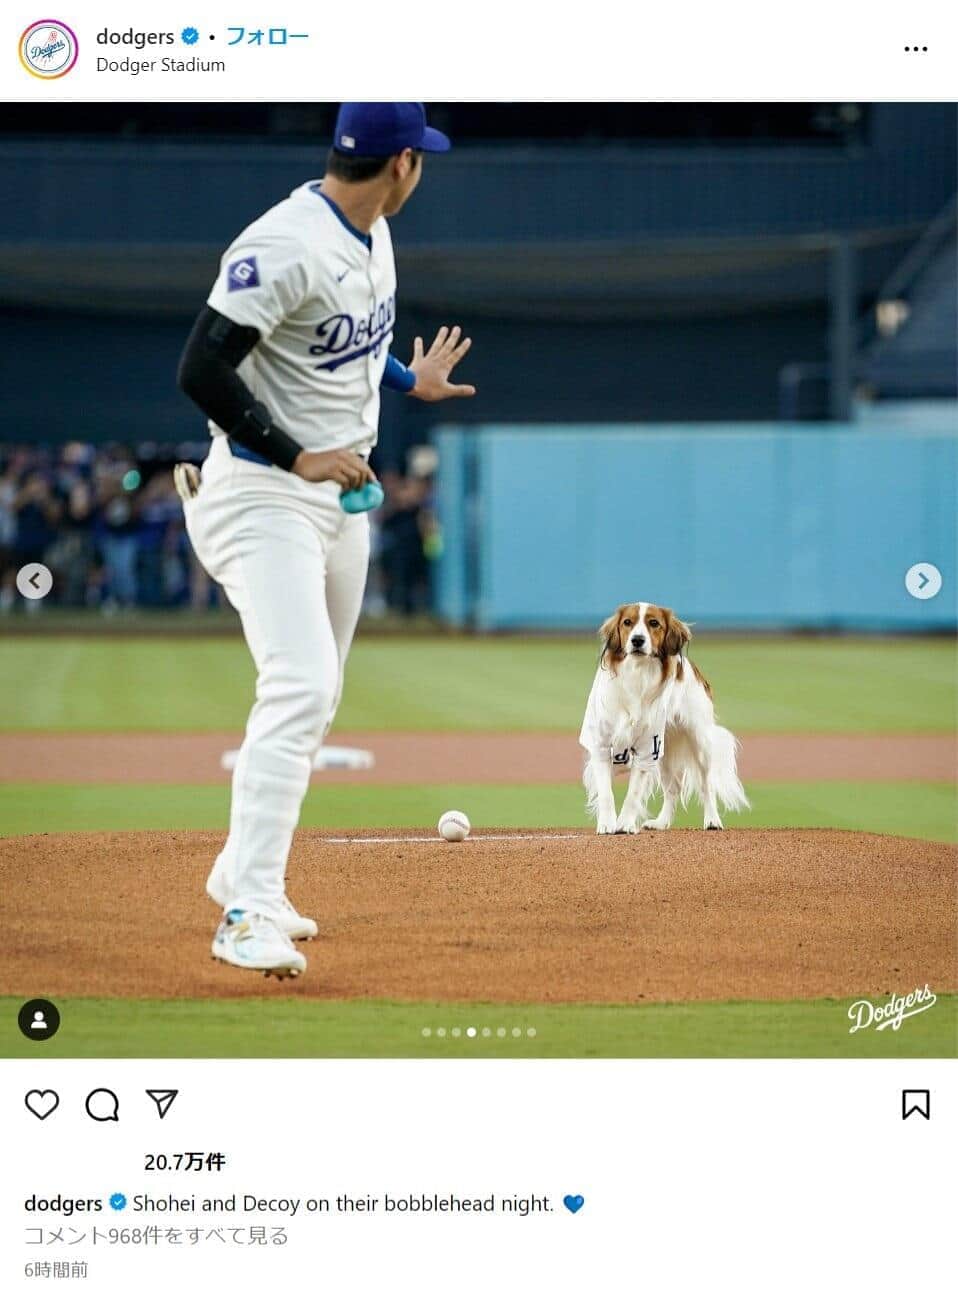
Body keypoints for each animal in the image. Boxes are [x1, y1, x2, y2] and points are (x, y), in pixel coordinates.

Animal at [575, 601, 749, 832]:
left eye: (654, 623)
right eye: (627, 622)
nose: (637, 640)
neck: (637, 675)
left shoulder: (648, 748)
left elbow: (633, 794)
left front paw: (625, 824)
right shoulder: (601, 745)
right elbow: (605, 793)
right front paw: (607, 824)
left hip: (698, 742)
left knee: (706, 784)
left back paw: (712, 820)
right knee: (673, 787)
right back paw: (661, 822)